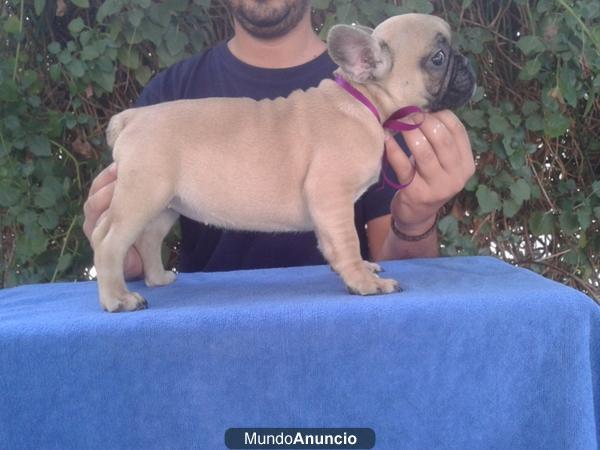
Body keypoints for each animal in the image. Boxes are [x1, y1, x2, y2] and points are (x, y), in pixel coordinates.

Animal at [94, 12, 476, 312]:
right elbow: (348, 241)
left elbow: (335, 243)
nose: (466, 61)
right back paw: (119, 299)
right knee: (109, 241)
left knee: (147, 239)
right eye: (438, 57)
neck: (363, 99)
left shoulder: (329, 207)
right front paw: (363, 282)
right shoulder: (331, 195)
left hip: (167, 205)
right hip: (142, 195)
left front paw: (360, 270)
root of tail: (132, 117)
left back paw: (157, 279)